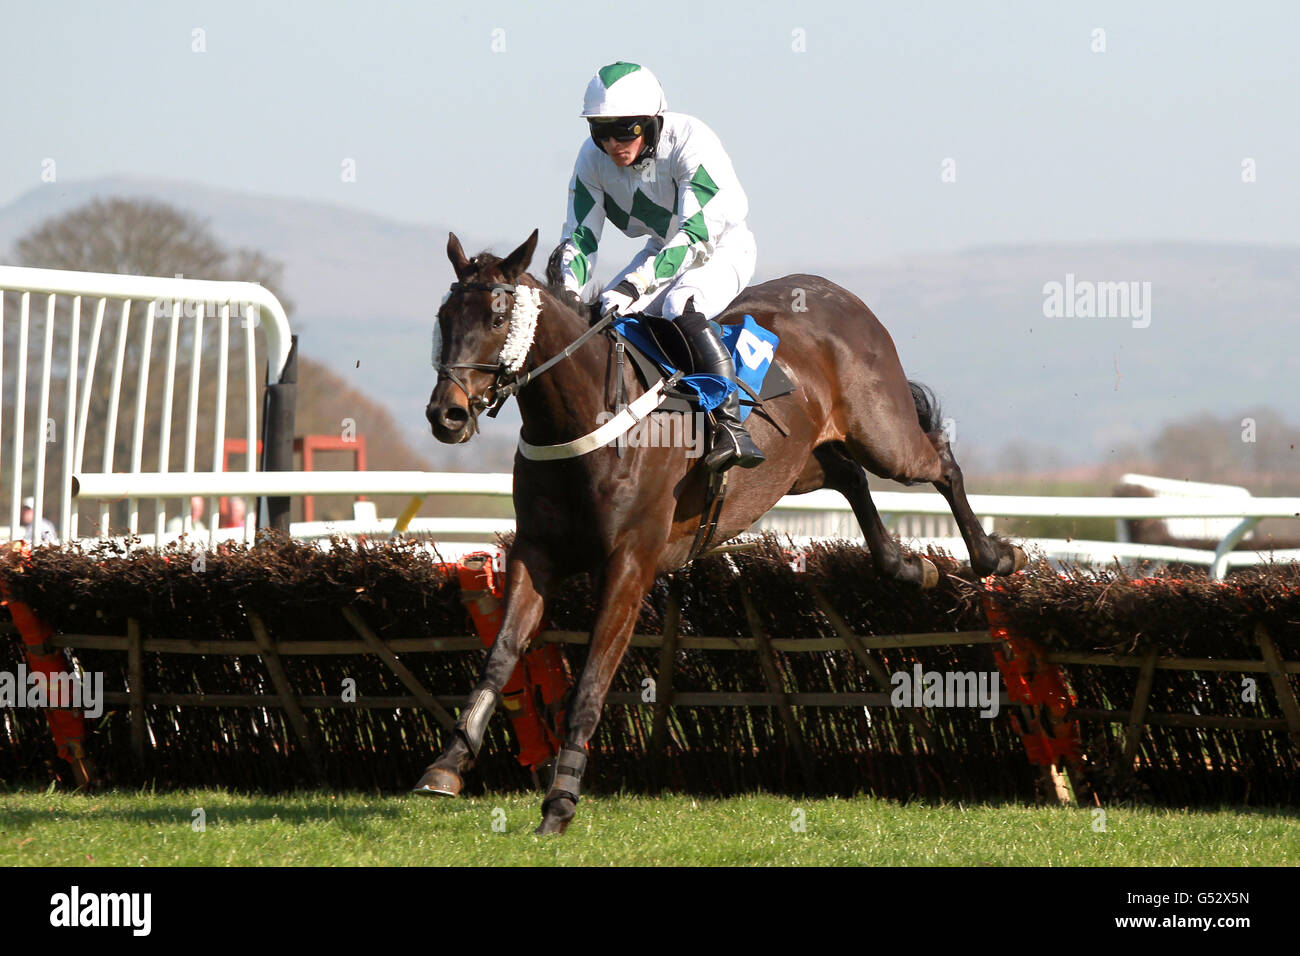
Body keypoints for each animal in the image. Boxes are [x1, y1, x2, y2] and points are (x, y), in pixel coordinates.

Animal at [418, 227, 1024, 832]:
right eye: (445, 316)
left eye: (498, 319)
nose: (446, 415)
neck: (587, 421)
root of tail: (838, 293)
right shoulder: (536, 553)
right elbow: (500, 653)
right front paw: (447, 765)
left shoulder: (631, 563)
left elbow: (590, 681)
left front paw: (561, 800)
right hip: (796, 464)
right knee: (849, 476)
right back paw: (909, 566)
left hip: (884, 437)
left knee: (941, 461)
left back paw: (994, 557)